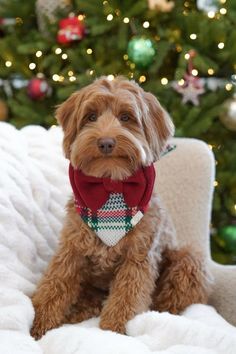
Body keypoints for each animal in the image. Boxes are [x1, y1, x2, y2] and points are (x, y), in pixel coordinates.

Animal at [30, 76, 212, 338]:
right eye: (91, 116)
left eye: (126, 117)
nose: (106, 142)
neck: (111, 188)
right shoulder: (72, 250)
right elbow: (53, 285)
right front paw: (38, 323)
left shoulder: (138, 258)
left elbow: (127, 299)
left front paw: (114, 332)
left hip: (188, 260)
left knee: (169, 300)